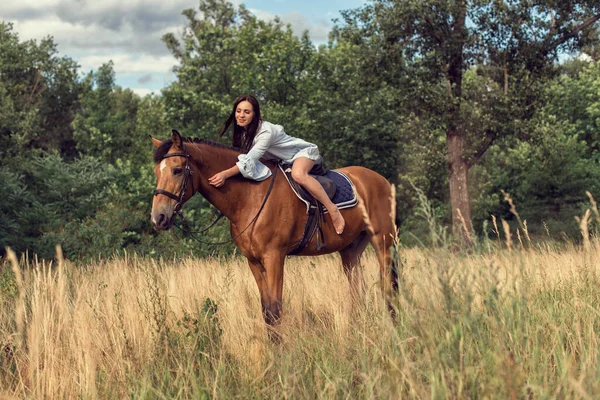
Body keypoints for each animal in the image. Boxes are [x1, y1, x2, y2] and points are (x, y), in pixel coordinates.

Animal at [150, 130, 398, 326]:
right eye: (156, 172)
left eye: (177, 170)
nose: (158, 217)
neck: (250, 195)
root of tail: (382, 181)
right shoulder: (254, 261)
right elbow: (267, 311)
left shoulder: (274, 257)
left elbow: (276, 310)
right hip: (350, 250)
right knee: (358, 291)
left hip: (382, 242)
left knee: (388, 287)